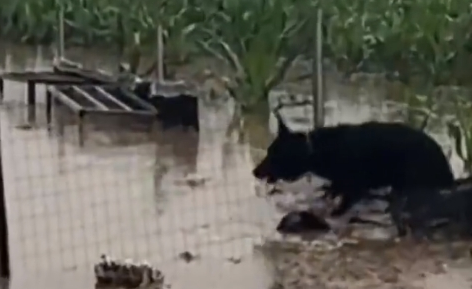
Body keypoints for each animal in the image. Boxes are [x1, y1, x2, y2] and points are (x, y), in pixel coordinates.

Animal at [253, 113, 456, 219]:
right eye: (269, 151)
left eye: (274, 156)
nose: (254, 172)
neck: (315, 149)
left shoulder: (355, 185)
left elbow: (346, 200)